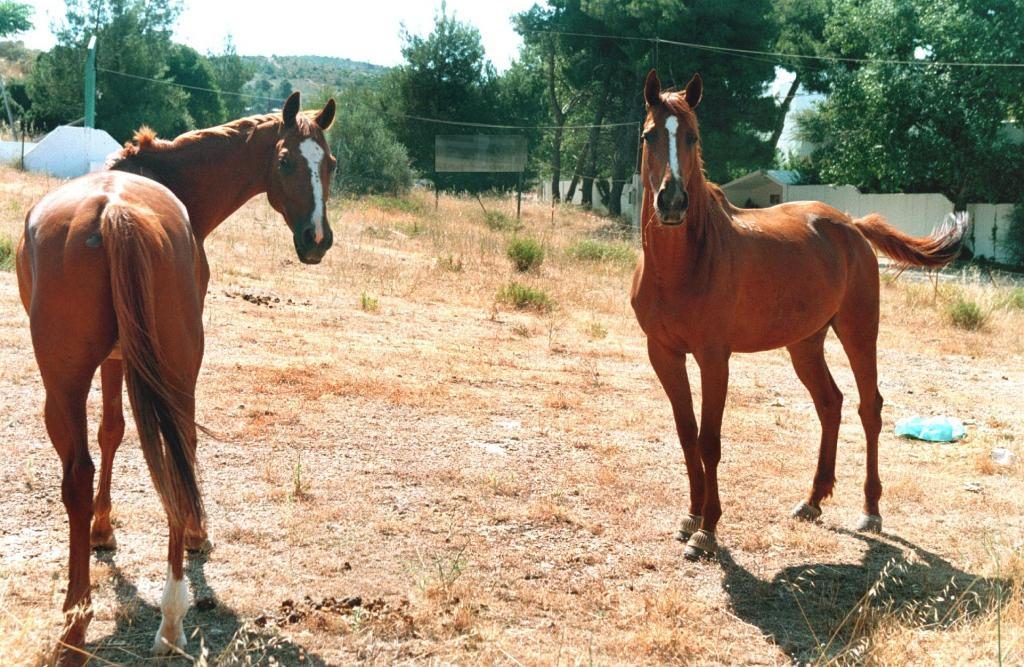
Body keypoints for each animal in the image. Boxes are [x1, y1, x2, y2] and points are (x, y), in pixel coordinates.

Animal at [17, 93, 335, 663]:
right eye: (285, 162)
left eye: (332, 165)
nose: (317, 240)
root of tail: (114, 211)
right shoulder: (124, 361)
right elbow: (118, 434)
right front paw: (177, 534)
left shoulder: (119, 361)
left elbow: (112, 433)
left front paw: (103, 529)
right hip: (169, 365)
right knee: (171, 447)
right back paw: (158, 613)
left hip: (77, 381)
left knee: (90, 470)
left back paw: (97, 624)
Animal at [630, 70, 966, 561]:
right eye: (650, 135)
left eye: (692, 136)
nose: (672, 202)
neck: (684, 265)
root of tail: (851, 226)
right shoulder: (664, 354)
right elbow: (687, 434)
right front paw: (690, 515)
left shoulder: (714, 358)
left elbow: (709, 441)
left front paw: (708, 530)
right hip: (805, 343)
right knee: (831, 404)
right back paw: (813, 500)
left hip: (858, 332)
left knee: (869, 408)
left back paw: (871, 511)